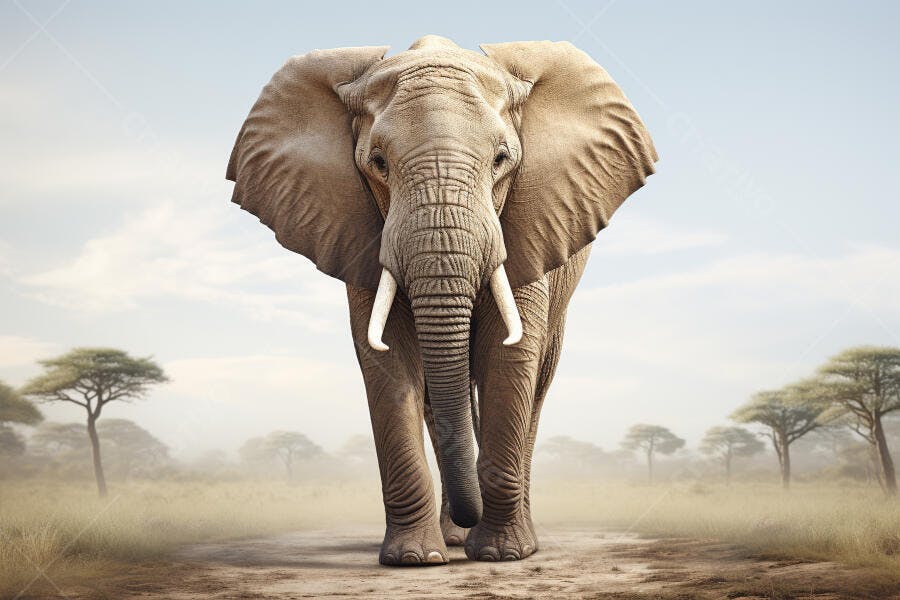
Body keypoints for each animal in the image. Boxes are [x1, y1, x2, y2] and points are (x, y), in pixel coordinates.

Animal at [227, 35, 656, 565]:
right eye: (378, 163)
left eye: (501, 160)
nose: (474, 525)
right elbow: (388, 358)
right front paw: (412, 559)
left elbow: (511, 356)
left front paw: (500, 555)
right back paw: (452, 539)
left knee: (537, 384)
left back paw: (512, 540)